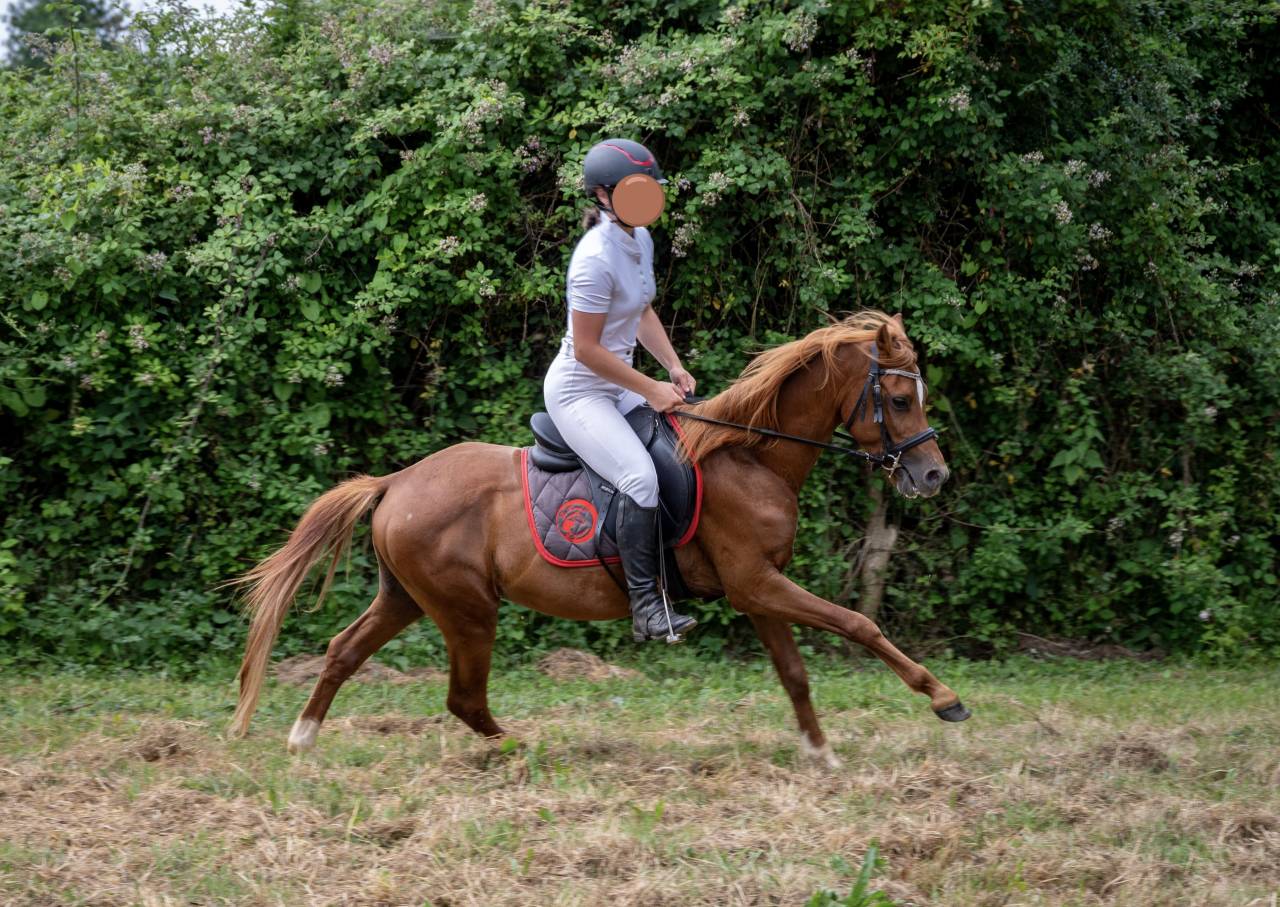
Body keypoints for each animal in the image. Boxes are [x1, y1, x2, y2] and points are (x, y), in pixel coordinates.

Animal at [227, 310, 969, 766]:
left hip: (407, 597)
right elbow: (857, 624)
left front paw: (821, 751)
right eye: (899, 400)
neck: (752, 456)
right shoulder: (757, 582)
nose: (934, 474)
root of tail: (397, 482)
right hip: (467, 609)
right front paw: (942, 697)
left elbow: (794, 672)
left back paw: (302, 738)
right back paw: (520, 749)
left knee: (345, 650)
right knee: (463, 697)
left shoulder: (758, 588)